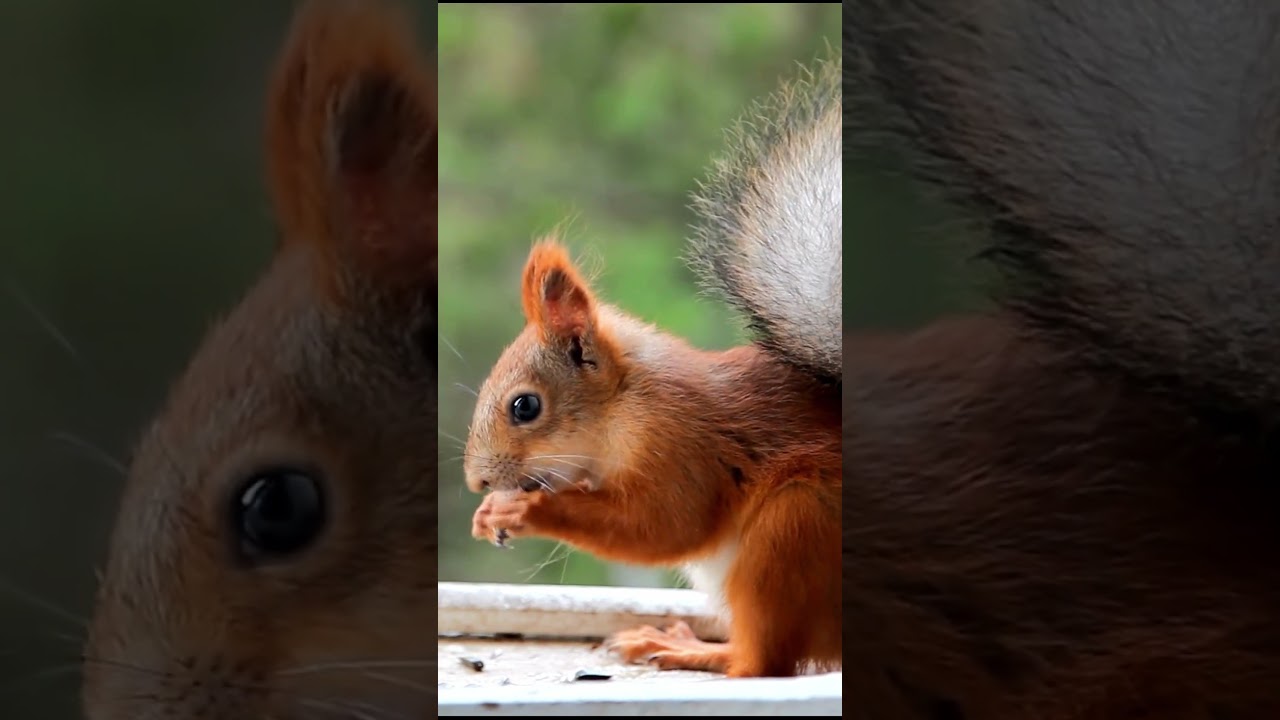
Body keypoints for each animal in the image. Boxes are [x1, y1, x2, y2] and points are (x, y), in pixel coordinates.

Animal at [461, 56, 842, 678]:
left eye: (525, 406)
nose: (479, 482)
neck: (624, 402)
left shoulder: (682, 444)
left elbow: (662, 526)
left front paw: (527, 509)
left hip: (796, 528)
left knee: (763, 663)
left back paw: (694, 649)